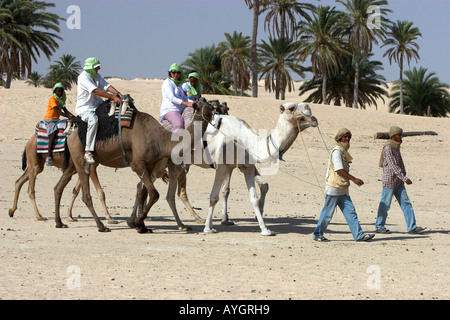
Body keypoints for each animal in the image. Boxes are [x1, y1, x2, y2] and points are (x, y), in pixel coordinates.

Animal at [52, 97, 214, 232]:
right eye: (200, 105)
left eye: (211, 106)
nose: (212, 107)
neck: (161, 139)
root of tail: (70, 136)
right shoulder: (138, 164)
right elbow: (154, 194)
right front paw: (137, 222)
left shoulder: (149, 166)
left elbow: (143, 193)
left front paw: (140, 225)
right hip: (81, 160)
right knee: (85, 194)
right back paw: (101, 226)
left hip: (73, 163)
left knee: (58, 187)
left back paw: (59, 222)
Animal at [202, 102, 318, 235]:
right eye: (291, 108)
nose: (313, 118)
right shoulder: (222, 166)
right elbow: (214, 196)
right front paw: (208, 227)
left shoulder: (245, 166)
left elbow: (256, 193)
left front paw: (264, 227)